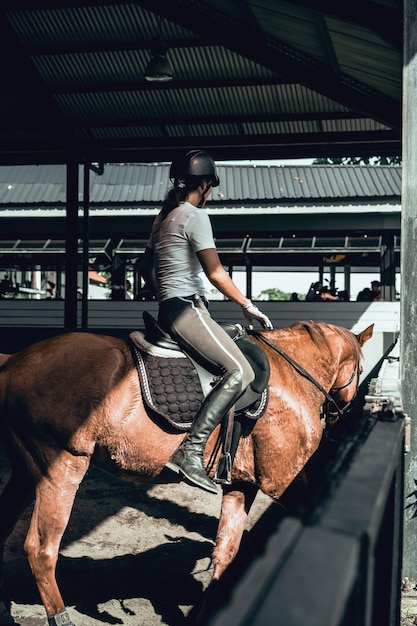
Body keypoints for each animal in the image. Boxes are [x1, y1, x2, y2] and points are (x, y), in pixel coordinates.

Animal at [0, 320, 370, 620]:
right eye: (362, 368)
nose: (342, 416)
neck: (292, 374)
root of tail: (14, 360)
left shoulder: (241, 485)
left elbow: (225, 552)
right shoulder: (285, 481)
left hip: (25, 471)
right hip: (62, 466)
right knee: (41, 550)